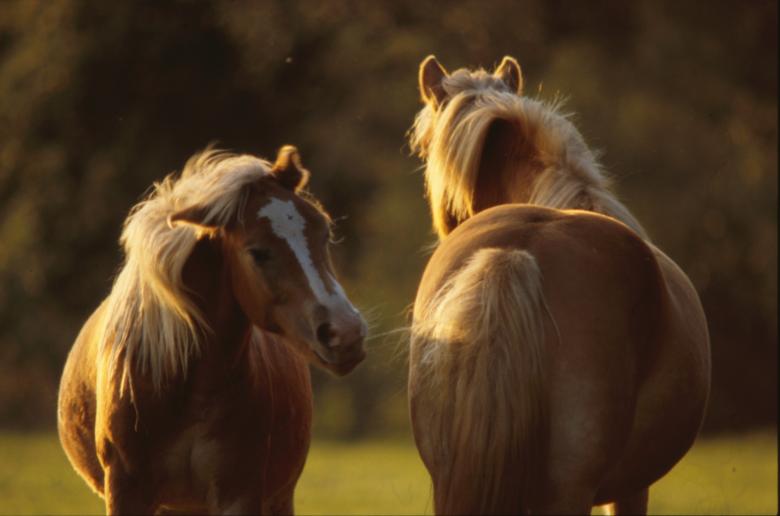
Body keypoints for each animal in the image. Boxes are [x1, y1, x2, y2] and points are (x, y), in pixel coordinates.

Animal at [58, 145, 367, 514]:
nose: (346, 333)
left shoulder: (239, 492)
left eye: (324, 232)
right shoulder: (126, 492)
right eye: (257, 252)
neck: (184, 384)